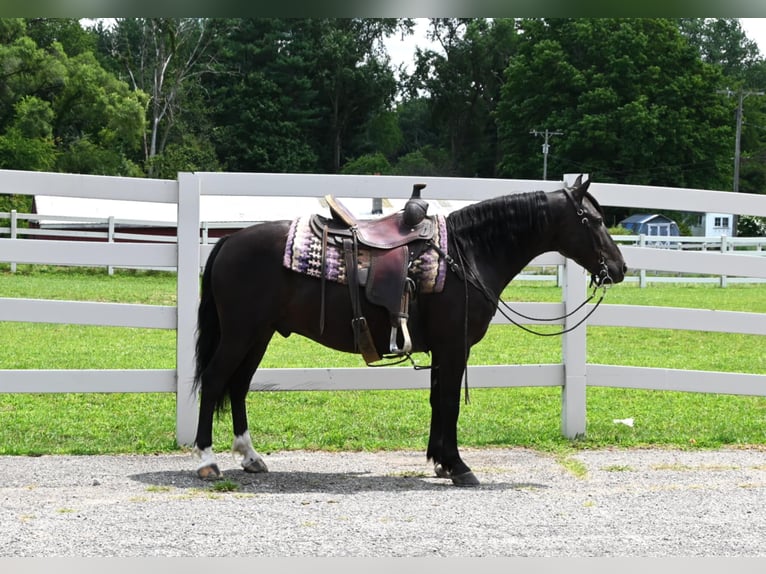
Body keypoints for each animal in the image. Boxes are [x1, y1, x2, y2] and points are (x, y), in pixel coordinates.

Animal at [191, 175, 627, 486]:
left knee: (239, 386)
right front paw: (458, 467)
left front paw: (441, 462)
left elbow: (437, 401)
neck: (467, 253)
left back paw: (250, 457)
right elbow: (448, 402)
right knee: (214, 381)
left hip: (259, 335)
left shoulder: (443, 350)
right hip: (240, 333)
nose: (618, 268)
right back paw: (208, 461)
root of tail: (228, 242)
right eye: (595, 221)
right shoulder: (454, 347)